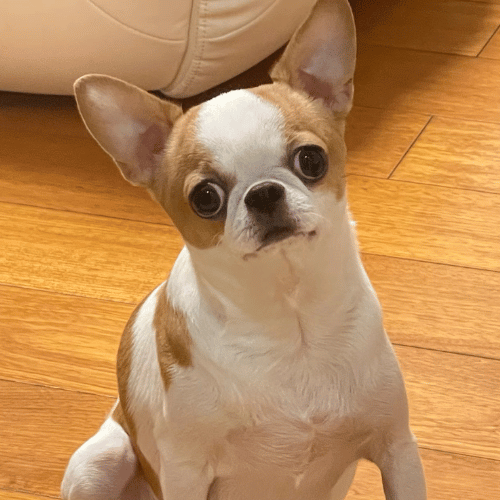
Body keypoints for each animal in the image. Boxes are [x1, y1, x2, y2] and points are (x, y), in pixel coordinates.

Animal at [59, 0, 426, 500]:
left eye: (312, 160)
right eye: (205, 198)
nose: (263, 192)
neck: (291, 325)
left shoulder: (397, 447)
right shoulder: (186, 473)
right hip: (99, 463)